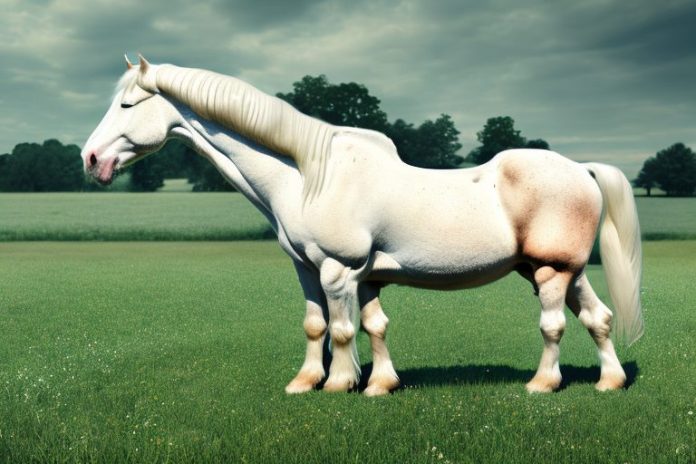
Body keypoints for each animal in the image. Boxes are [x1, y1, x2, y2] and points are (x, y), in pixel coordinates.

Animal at [82, 55, 643, 396]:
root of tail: (582, 169)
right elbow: (348, 326)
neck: (308, 173)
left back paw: (542, 384)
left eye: (127, 104)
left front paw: (338, 384)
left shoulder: (338, 270)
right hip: (562, 271)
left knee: (553, 325)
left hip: (550, 272)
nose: (90, 159)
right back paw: (610, 381)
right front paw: (348, 383)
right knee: (599, 317)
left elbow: (343, 328)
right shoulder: (327, 271)